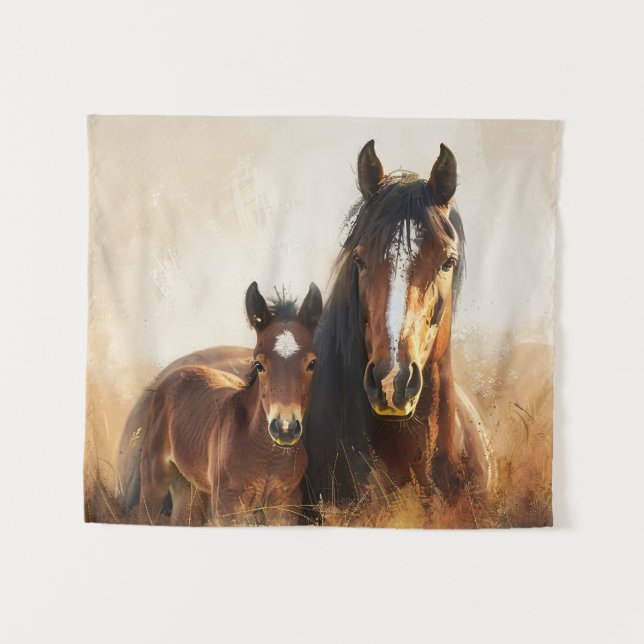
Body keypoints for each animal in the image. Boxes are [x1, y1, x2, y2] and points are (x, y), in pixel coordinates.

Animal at [129, 281, 322, 525]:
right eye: (258, 364)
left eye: (312, 363)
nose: (285, 428)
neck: (267, 455)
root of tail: (177, 373)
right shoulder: (227, 506)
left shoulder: (286, 505)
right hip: (155, 478)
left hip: (190, 486)